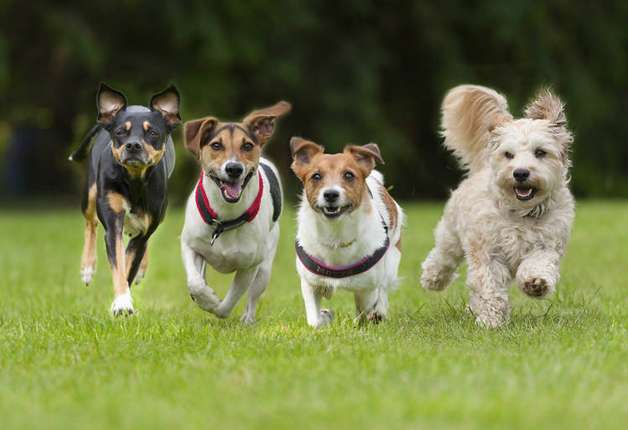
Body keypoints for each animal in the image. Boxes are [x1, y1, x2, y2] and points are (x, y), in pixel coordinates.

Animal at [69, 82, 180, 316]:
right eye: (121, 132)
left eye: (153, 132)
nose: (133, 145)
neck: (134, 180)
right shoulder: (113, 224)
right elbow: (119, 266)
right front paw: (122, 303)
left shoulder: (143, 231)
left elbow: (129, 266)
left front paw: (122, 302)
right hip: (90, 194)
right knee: (90, 223)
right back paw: (87, 267)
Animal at [180, 101, 290, 322]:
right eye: (216, 145)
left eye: (247, 146)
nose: (234, 168)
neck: (225, 219)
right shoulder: (189, 245)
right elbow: (195, 283)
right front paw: (206, 297)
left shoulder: (249, 266)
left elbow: (227, 303)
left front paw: (214, 305)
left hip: (264, 267)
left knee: (254, 295)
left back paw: (248, 319)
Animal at [292, 139, 404, 328]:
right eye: (316, 176)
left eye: (349, 175)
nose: (330, 194)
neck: (336, 233)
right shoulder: (309, 283)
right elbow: (314, 321)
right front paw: (325, 317)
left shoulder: (367, 288)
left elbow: (366, 308)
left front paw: (371, 316)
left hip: (392, 258)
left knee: (383, 287)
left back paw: (379, 310)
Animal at [422, 84, 576, 328]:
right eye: (508, 154)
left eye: (540, 152)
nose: (520, 173)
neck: (521, 214)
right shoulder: (487, 252)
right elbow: (489, 285)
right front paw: (490, 321)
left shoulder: (548, 245)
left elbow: (539, 263)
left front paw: (536, 283)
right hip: (452, 233)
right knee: (443, 256)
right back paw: (433, 278)